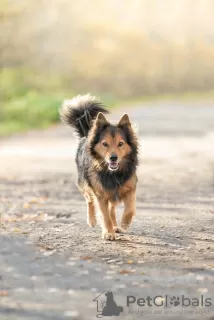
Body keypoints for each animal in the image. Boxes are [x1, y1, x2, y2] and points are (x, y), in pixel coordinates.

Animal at [59, 95, 139, 240]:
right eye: (104, 144)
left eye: (120, 144)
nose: (113, 158)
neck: (113, 173)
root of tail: (86, 135)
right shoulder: (100, 194)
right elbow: (104, 215)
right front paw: (108, 232)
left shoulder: (130, 188)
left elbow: (130, 208)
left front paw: (125, 223)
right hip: (84, 183)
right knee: (89, 200)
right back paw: (92, 220)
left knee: (112, 208)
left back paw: (116, 226)